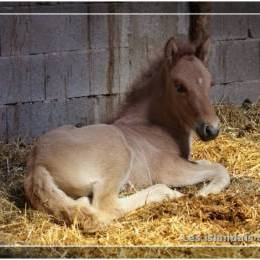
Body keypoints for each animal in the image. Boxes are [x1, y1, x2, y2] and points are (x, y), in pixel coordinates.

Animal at [24, 37, 230, 230]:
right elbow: (221, 169)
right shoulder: (170, 168)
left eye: (210, 83)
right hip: (119, 155)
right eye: (179, 86)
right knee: (106, 206)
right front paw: (205, 192)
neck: (155, 128)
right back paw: (168, 193)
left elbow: (207, 163)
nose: (211, 129)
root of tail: (37, 165)